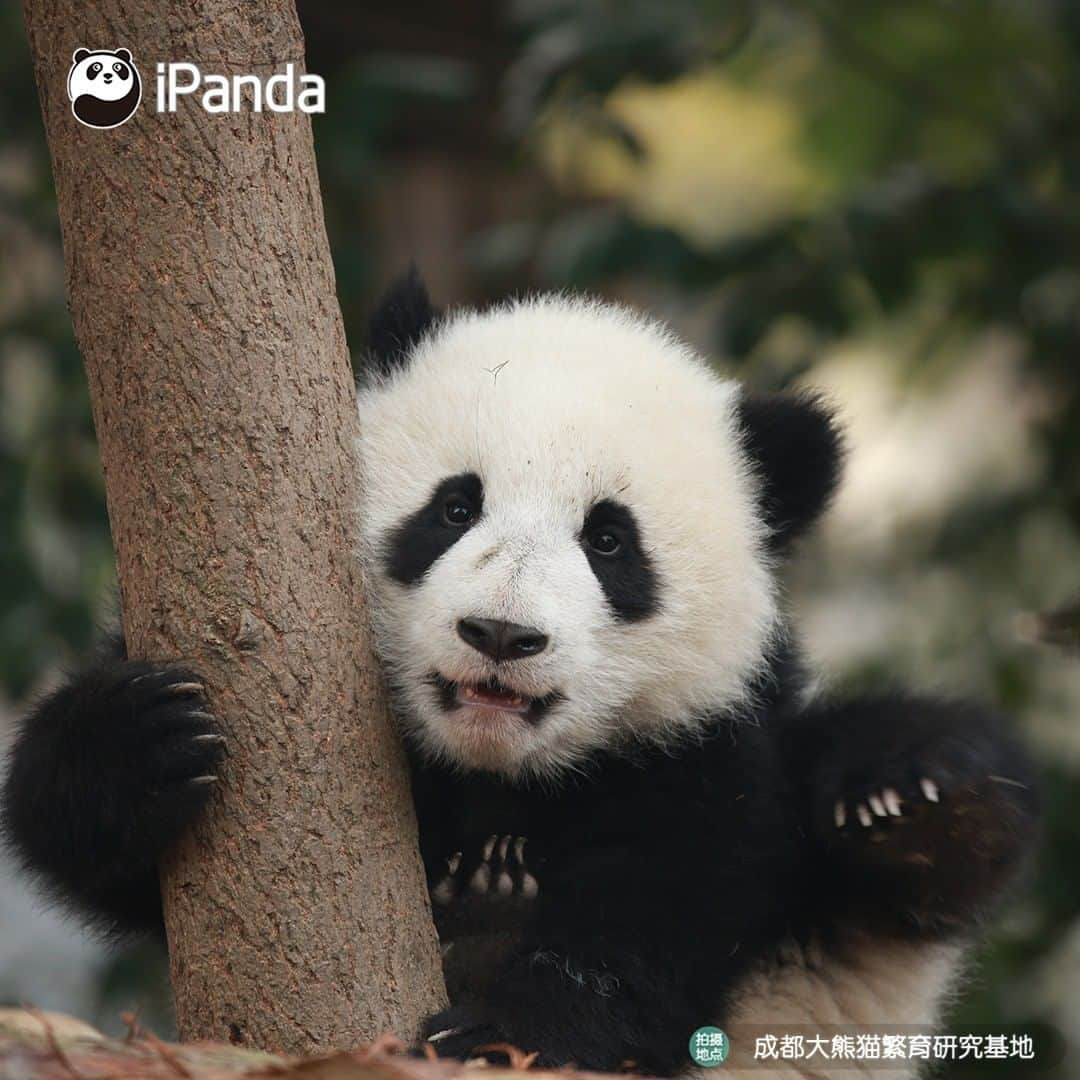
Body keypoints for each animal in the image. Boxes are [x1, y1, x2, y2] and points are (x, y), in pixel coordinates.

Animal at [4, 267, 1041, 1071]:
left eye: (610, 542)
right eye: (455, 507)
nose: (500, 634)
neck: (496, 770)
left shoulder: (708, 745)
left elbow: (662, 913)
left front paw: (504, 1032)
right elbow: (87, 844)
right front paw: (140, 740)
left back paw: (908, 796)